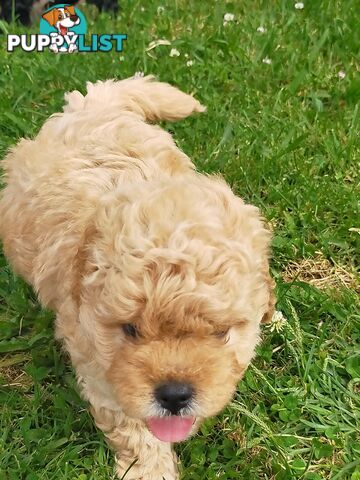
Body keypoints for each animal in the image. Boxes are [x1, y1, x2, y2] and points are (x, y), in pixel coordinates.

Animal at [0, 77, 276, 478]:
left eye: (221, 333)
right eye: (129, 330)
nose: (175, 395)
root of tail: (90, 106)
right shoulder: (101, 369)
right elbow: (135, 431)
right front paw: (151, 470)